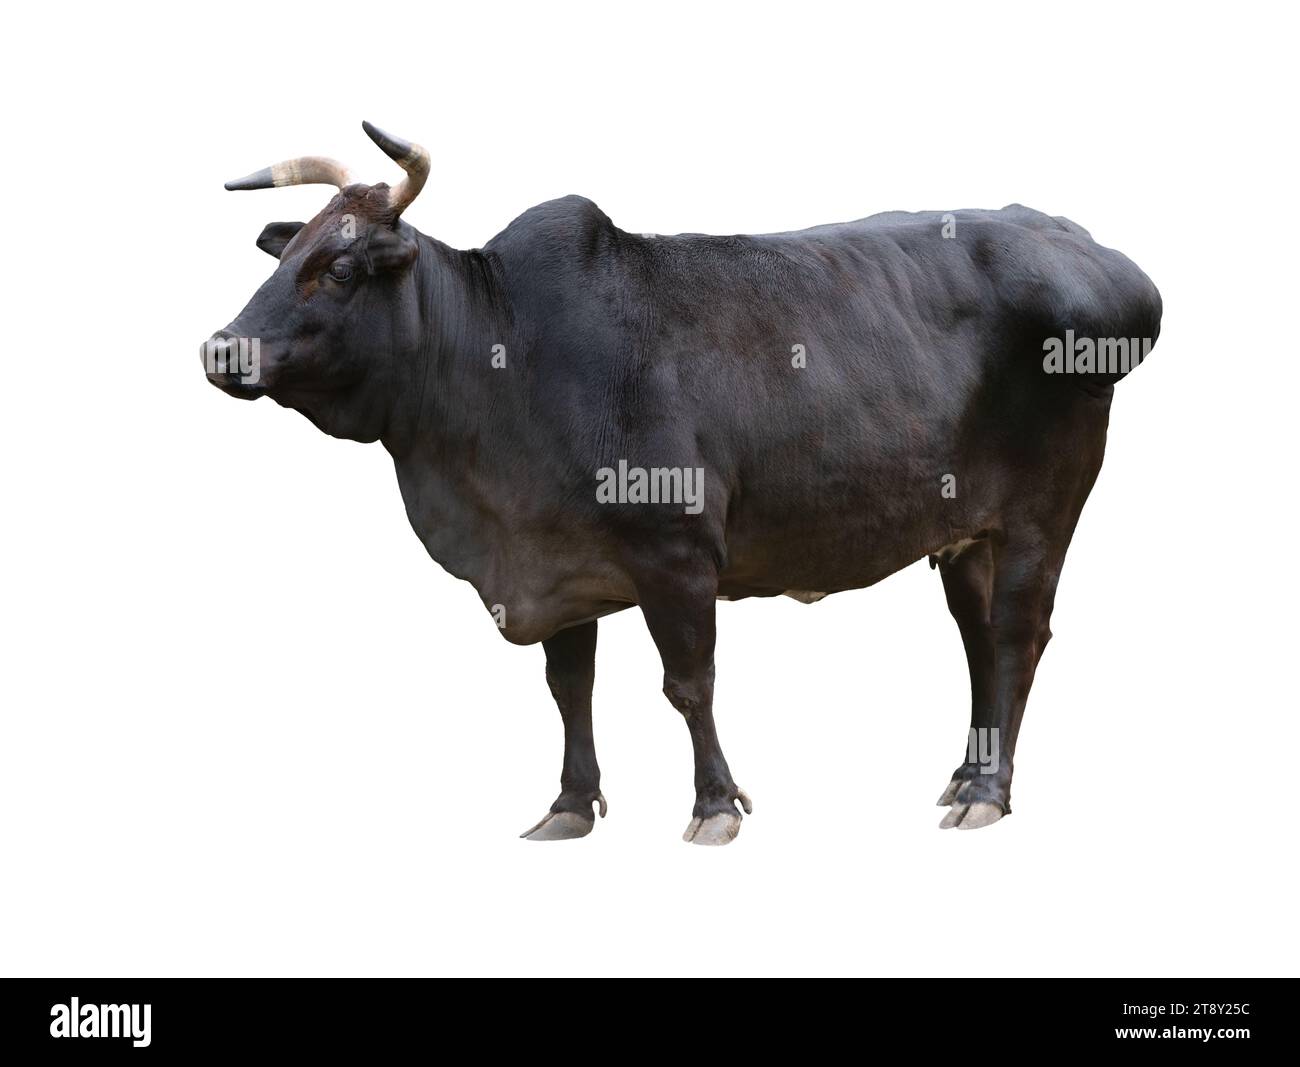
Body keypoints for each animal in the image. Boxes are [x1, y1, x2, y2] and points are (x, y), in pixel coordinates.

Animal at [203, 122, 1162, 845]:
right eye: (284, 258)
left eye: (340, 268)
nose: (222, 348)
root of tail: (1072, 243)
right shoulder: (561, 565)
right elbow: (569, 688)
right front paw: (567, 804)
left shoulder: (677, 551)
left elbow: (689, 683)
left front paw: (714, 805)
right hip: (964, 531)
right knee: (974, 638)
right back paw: (966, 772)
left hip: (1043, 513)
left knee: (1015, 637)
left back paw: (989, 794)